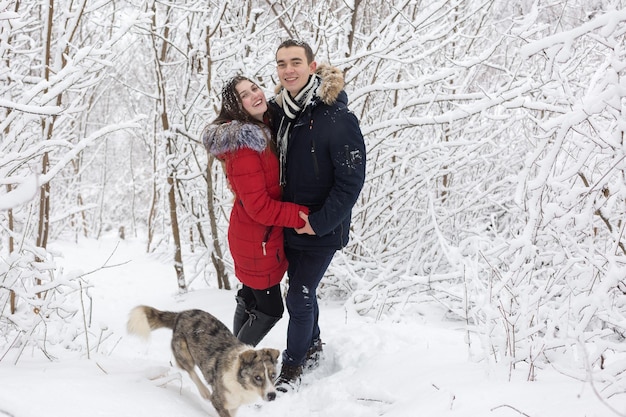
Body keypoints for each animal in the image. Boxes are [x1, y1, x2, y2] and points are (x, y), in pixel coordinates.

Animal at [127, 306, 278, 416]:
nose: (272, 396)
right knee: (189, 370)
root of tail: (180, 314)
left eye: (273, 375)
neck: (240, 381)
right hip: (184, 352)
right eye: (257, 377)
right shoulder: (219, 401)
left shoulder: (233, 405)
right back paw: (204, 391)